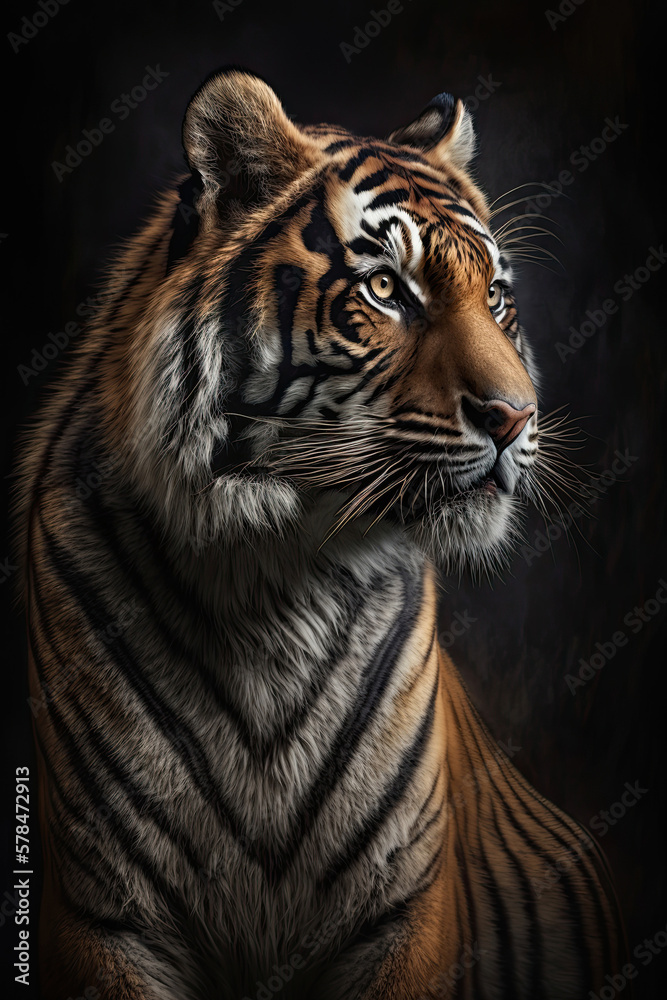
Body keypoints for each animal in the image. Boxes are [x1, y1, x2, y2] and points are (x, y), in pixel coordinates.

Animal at [17, 68, 628, 999]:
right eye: (385, 291)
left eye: (495, 297)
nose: (516, 417)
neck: (270, 575)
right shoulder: (105, 916)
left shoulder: (402, 910)